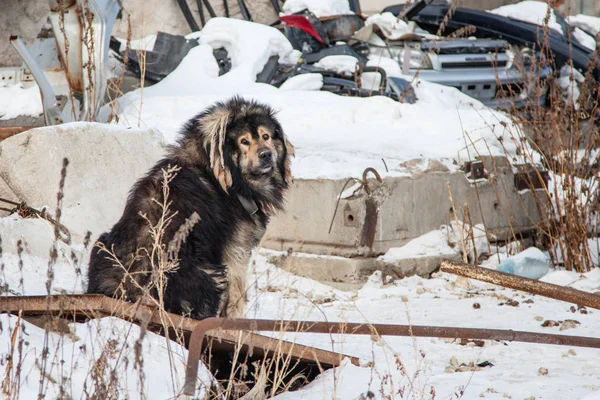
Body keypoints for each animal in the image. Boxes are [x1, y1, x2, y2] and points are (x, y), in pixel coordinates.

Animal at [87, 96, 296, 318]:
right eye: (244, 141)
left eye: (266, 136)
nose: (266, 155)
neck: (218, 175)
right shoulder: (236, 251)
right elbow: (236, 299)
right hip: (209, 273)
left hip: (101, 245)